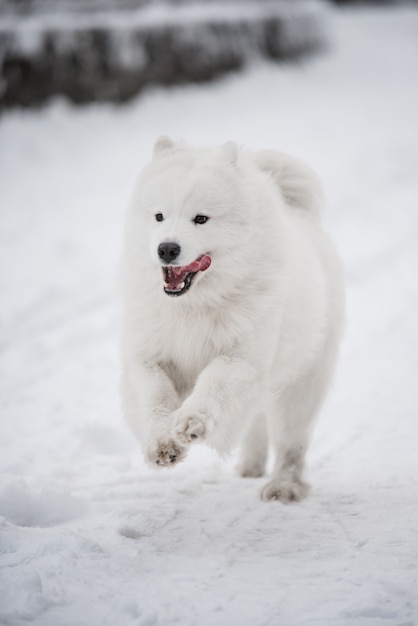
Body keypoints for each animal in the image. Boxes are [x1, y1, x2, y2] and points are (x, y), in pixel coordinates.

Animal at [120, 138, 342, 502]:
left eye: (201, 218)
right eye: (159, 216)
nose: (166, 249)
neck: (194, 306)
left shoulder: (241, 359)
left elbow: (214, 386)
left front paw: (191, 423)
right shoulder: (149, 358)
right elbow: (155, 397)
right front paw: (163, 445)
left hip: (300, 386)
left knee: (290, 444)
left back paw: (284, 487)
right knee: (256, 426)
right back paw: (250, 467)